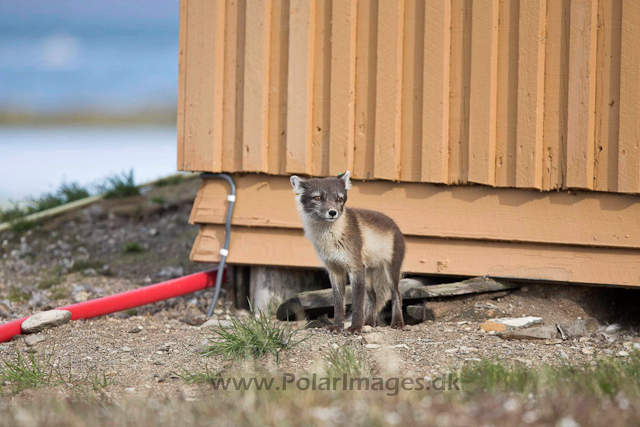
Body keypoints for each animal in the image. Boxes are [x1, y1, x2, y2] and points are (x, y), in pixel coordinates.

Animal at [290, 171, 404, 334]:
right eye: (318, 198)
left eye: (339, 199)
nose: (333, 212)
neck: (332, 239)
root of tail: (395, 226)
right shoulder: (335, 270)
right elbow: (338, 303)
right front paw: (338, 326)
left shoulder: (355, 268)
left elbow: (357, 303)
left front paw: (355, 327)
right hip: (368, 274)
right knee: (373, 296)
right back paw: (369, 323)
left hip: (390, 272)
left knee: (397, 294)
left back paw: (397, 322)